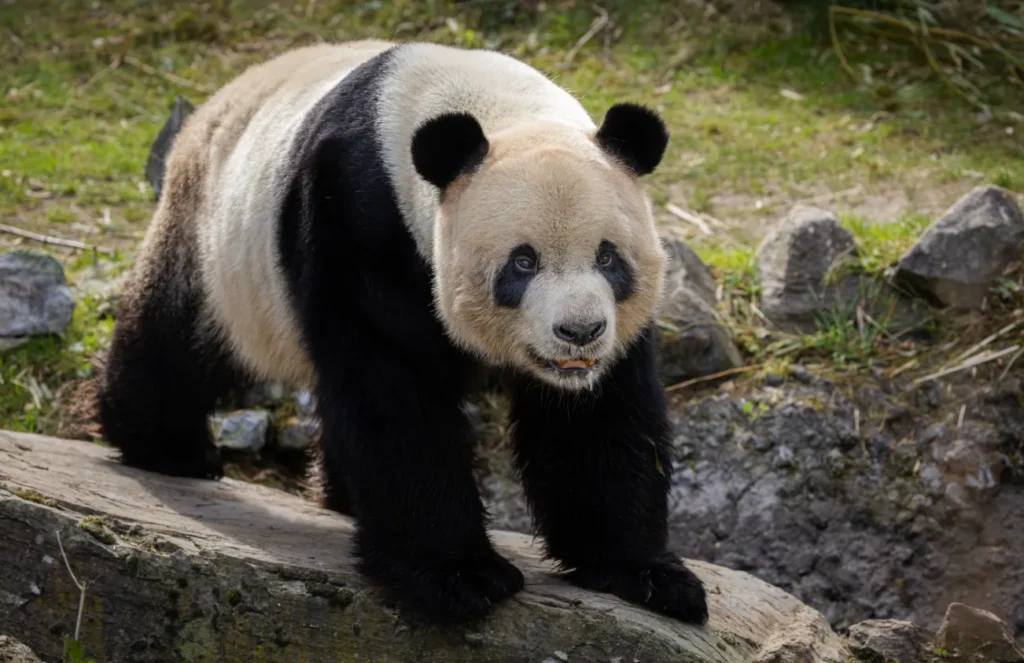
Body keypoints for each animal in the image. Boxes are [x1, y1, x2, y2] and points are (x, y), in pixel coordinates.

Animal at [98, 40, 708, 626]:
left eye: (608, 258)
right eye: (523, 262)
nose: (579, 332)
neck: (495, 109)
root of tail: (209, 108)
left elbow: (598, 422)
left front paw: (644, 575)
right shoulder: (360, 219)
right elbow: (394, 396)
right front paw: (458, 578)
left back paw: (339, 495)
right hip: (216, 237)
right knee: (178, 333)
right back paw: (167, 448)